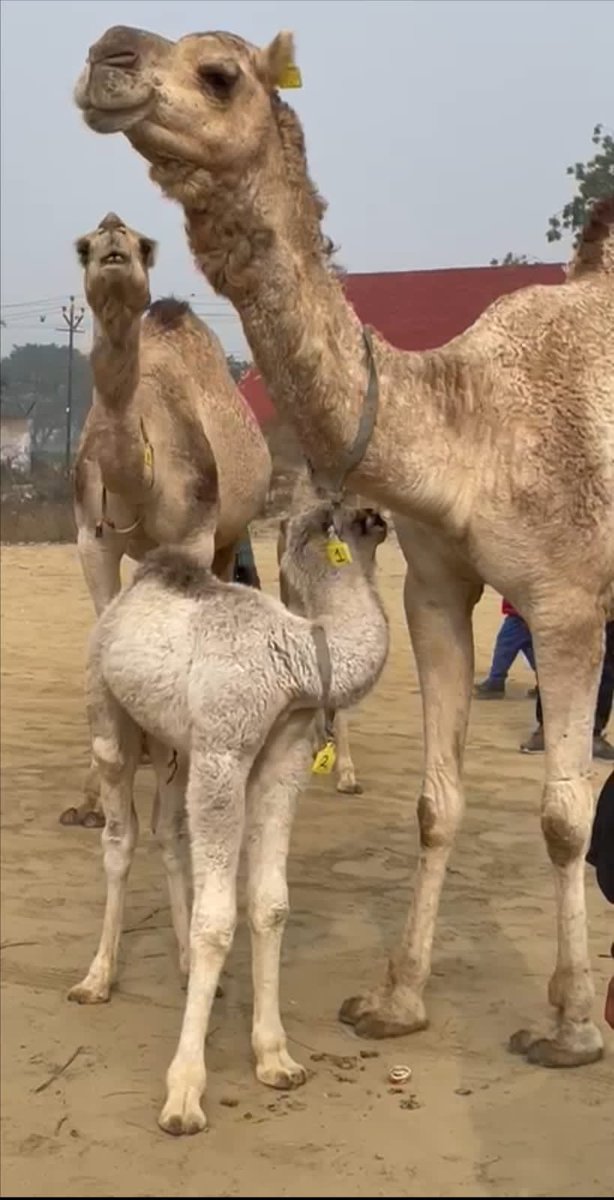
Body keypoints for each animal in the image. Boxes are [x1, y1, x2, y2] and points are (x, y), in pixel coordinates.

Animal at [63, 211, 271, 827]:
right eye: (84, 246)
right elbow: (102, 633)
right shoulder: (91, 538)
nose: (112, 235)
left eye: (143, 245)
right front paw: (91, 800)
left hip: (228, 537)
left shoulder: (195, 536)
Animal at [68, 502, 389, 1135]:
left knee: (169, 830)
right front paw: (184, 1093)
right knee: (121, 839)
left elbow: (270, 904)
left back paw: (186, 967)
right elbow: (217, 919)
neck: (292, 658)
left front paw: (276, 1057)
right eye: (354, 518)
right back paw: (96, 979)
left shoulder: (282, 759)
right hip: (110, 710)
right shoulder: (224, 751)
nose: (383, 517)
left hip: (174, 743)